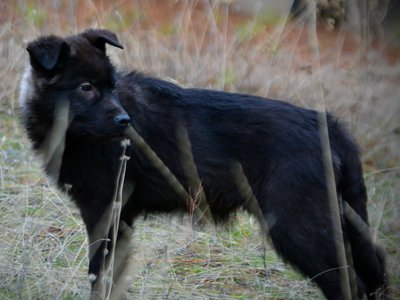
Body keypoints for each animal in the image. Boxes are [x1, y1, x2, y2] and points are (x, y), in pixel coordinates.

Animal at [19, 28, 388, 300]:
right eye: (86, 87)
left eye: (111, 86)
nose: (126, 122)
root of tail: (331, 127)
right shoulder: (115, 215)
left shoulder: (106, 211)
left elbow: (99, 272)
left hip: (299, 228)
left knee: (348, 282)